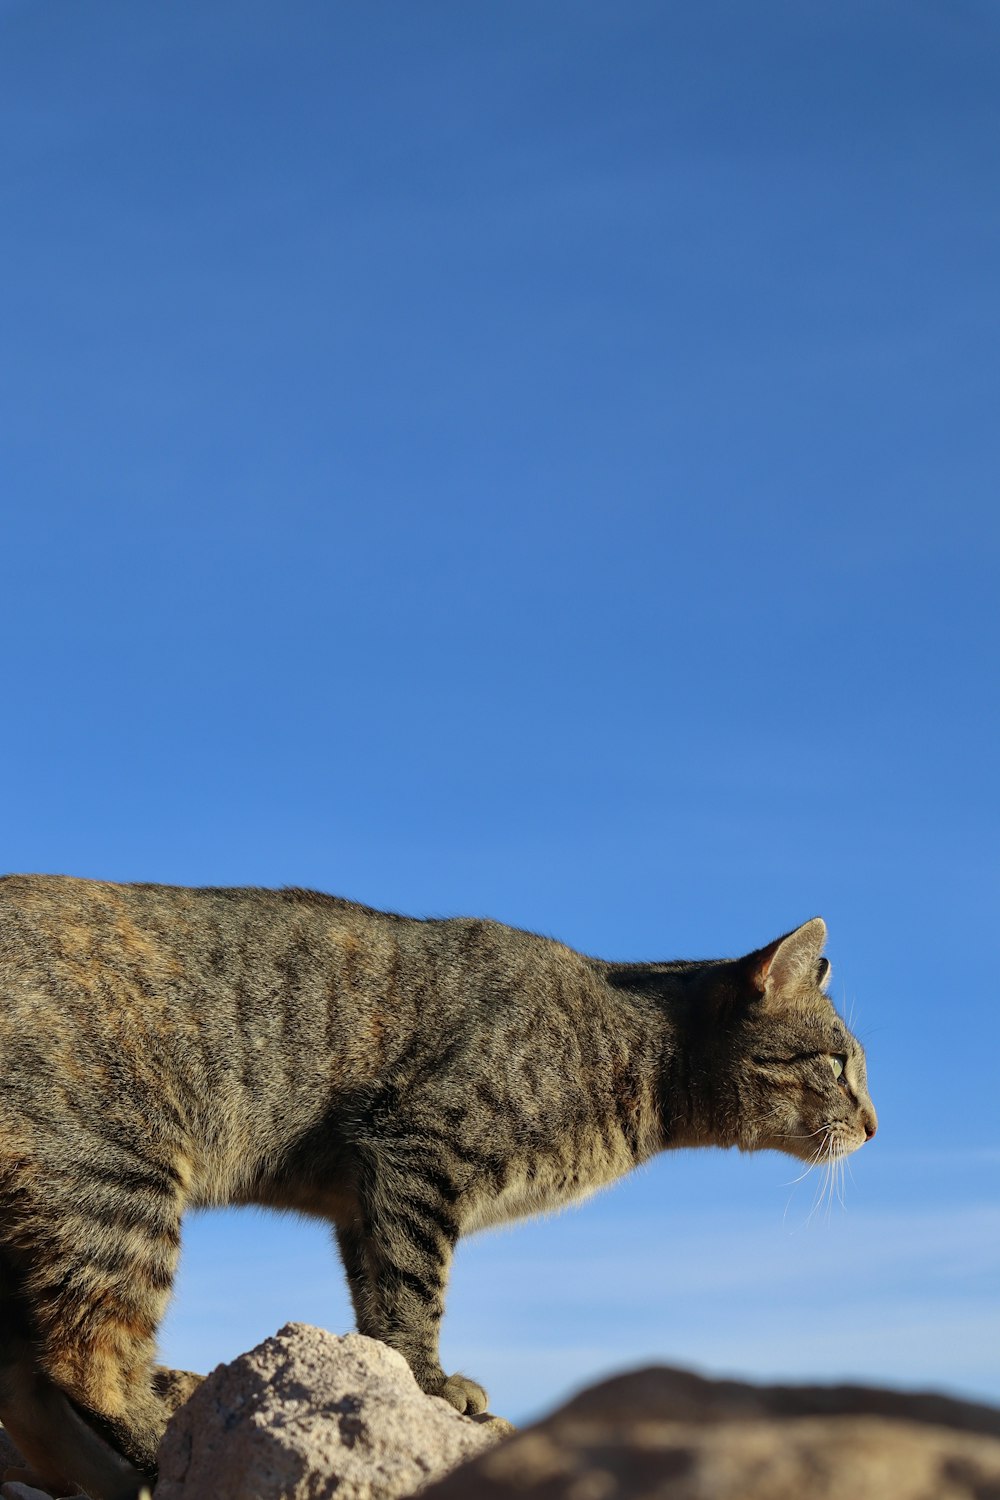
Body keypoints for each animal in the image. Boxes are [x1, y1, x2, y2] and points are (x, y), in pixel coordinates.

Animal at [0, 876, 875, 1500]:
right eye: (838, 1064)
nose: (873, 1125)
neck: (634, 1053)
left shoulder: (365, 1195)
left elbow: (377, 1294)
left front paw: (398, 1373)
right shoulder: (420, 1150)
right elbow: (414, 1287)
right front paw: (427, 1383)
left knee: (27, 1381)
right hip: (114, 1179)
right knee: (88, 1355)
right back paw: (164, 1438)